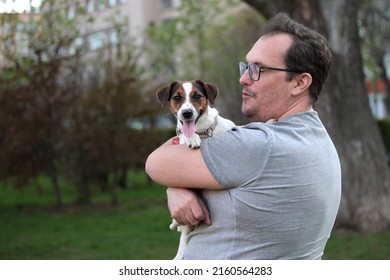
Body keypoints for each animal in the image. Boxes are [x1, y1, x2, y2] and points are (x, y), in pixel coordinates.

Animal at [155, 80, 235, 260]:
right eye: (177, 97)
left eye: (197, 96)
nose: (186, 113)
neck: (204, 132)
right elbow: (186, 137)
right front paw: (191, 138)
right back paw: (175, 224)